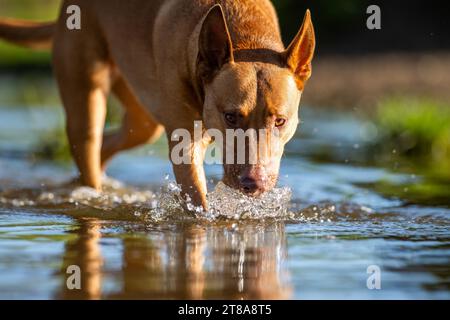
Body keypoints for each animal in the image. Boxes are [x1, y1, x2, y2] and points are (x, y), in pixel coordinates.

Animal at [0, 0, 314, 208]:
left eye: (280, 121)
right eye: (231, 117)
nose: (254, 183)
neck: (246, 38)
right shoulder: (185, 145)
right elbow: (198, 200)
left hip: (140, 116)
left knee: (112, 142)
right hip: (86, 98)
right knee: (88, 142)